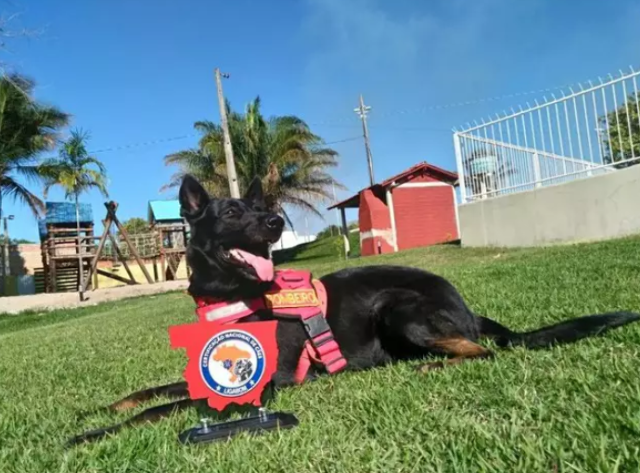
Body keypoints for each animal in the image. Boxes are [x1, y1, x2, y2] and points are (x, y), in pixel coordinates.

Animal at [70, 175, 640, 444]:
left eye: (260, 210)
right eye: (232, 212)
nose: (276, 221)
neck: (231, 294)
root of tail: (465, 303)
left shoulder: (257, 386)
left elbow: (160, 409)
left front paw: (90, 436)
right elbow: (149, 392)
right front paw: (98, 410)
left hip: (398, 308)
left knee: (485, 352)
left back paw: (432, 365)